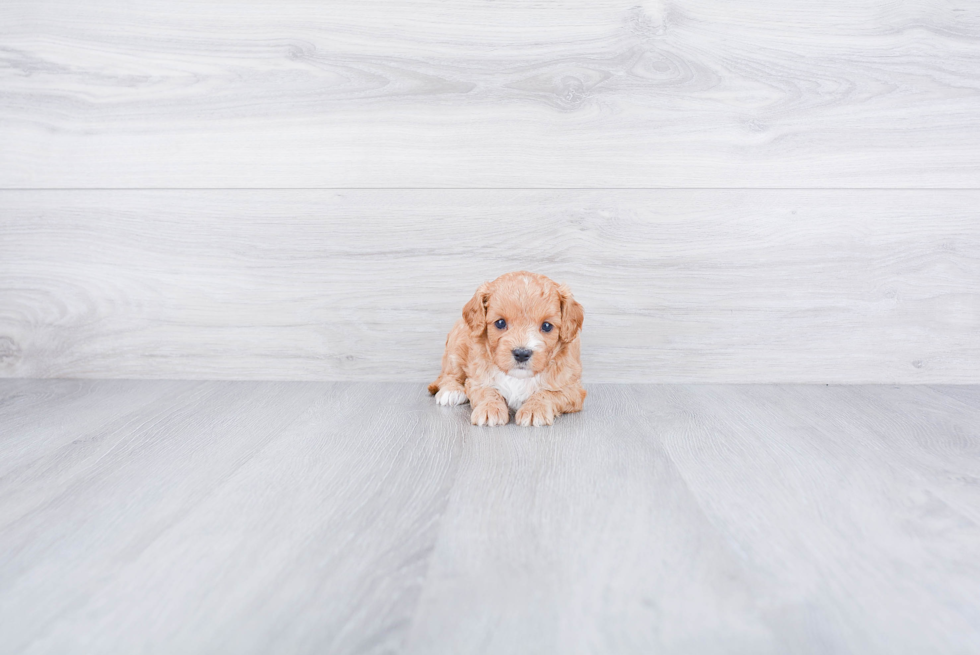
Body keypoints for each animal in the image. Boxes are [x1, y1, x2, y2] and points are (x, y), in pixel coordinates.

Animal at [426, 270, 580, 428]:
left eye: (547, 326)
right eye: (500, 323)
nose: (522, 353)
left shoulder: (572, 389)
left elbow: (548, 393)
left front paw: (534, 409)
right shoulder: (477, 381)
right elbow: (488, 391)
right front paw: (490, 408)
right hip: (456, 344)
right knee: (449, 374)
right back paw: (451, 391)